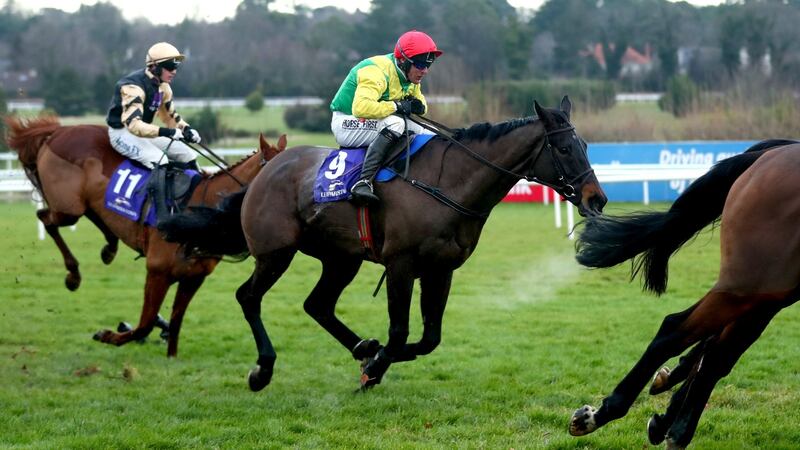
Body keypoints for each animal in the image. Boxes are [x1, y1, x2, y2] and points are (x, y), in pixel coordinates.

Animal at [5, 117, 288, 358]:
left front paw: (171, 357)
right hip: (68, 209)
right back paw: (73, 274)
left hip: (83, 206)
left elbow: (175, 320)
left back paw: (109, 248)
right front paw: (107, 335)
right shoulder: (158, 271)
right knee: (46, 217)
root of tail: (56, 132)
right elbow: (146, 324)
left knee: (88, 216)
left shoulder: (193, 277)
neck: (200, 207)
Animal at [159, 97, 604, 390]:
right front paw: (375, 366)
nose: (596, 198)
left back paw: (360, 346)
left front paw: (372, 358)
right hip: (275, 253)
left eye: (586, 146)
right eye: (565, 148)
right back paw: (263, 369)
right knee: (249, 297)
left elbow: (427, 338)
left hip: (341, 259)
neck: (447, 182)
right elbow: (400, 330)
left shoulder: (441, 269)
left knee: (317, 305)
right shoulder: (400, 265)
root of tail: (265, 171)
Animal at [568, 139, 800, 448]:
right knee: (679, 332)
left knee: (716, 354)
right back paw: (605, 416)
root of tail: (769, 156)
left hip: (769, 290)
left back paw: (667, 424)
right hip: (753, 282)